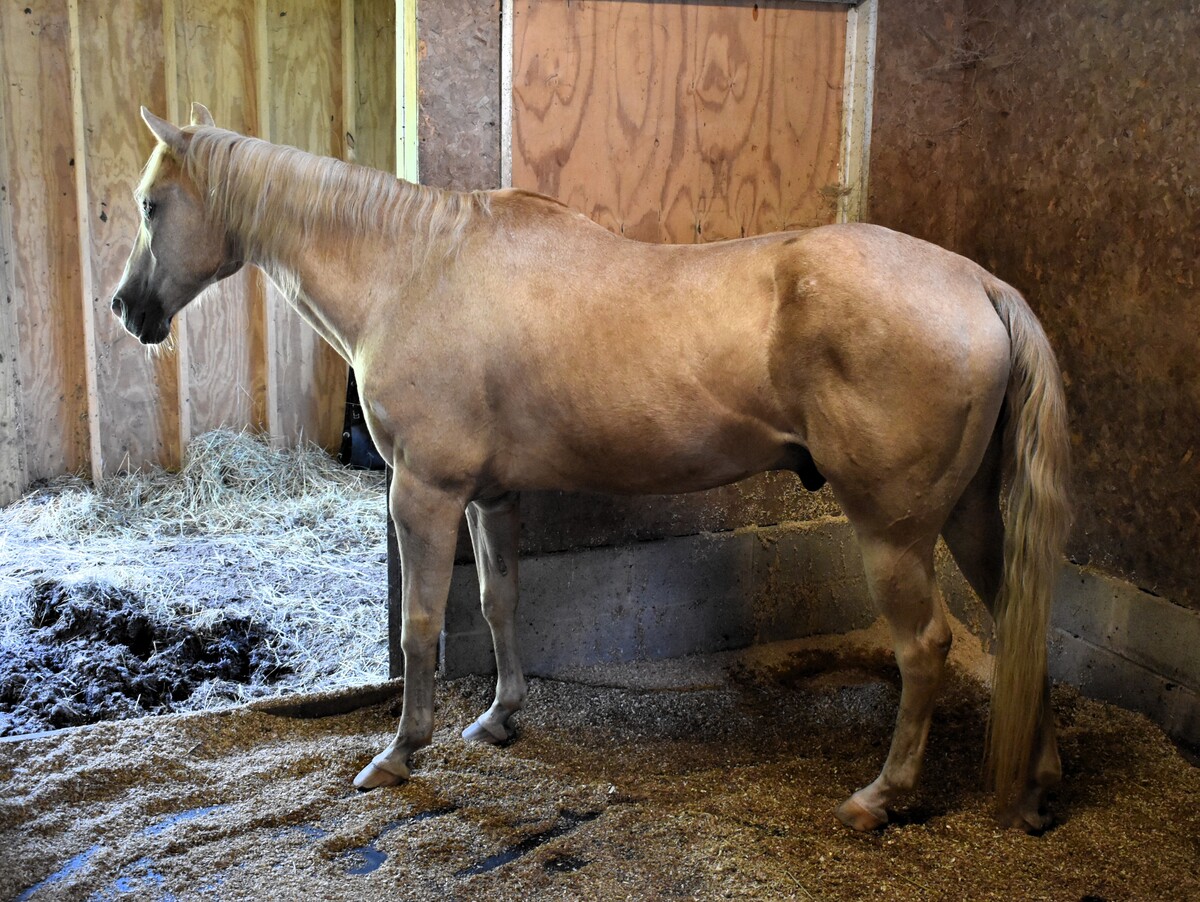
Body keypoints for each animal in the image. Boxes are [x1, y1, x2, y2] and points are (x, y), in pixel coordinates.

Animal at [112, 103, 1071, 832]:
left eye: (152, 205)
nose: (127, 311)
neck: (414, 270)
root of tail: (978, 285)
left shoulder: (423, 493)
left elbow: (421, 625)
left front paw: (399, 753)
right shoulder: (491, 496)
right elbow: (499, 601)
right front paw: (500, 719)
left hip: (894, 532)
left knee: (927, 647)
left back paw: (883, 795)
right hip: (971, 517)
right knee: (1017, 618)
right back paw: (1036, 782)